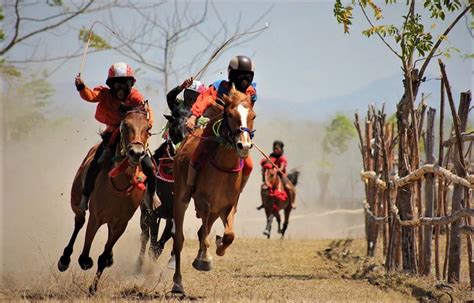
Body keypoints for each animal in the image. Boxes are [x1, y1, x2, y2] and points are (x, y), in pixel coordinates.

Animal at [57, 106, 154, 294]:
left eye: (148, 129)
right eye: (125, 126)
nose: (137, 153)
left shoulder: (121, 223)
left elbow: (102, 256)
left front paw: (93, 288)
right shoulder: (96, 217)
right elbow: (85, 253)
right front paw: (84, 262)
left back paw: (109, 258)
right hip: (77, 202)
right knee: (79, 221)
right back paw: (64, 259)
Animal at [172, 86, 258, 296]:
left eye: (253, 116)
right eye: (230, 114)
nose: (244, 146)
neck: (223, 168)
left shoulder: (228, 207)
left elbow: (229, 235)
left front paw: (219, 247)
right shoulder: (204, 204)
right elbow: (204, 238)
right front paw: (204, 260)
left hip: (215, 210)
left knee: (203, 231)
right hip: (181, 199)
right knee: (179, 240)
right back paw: (178, 283)